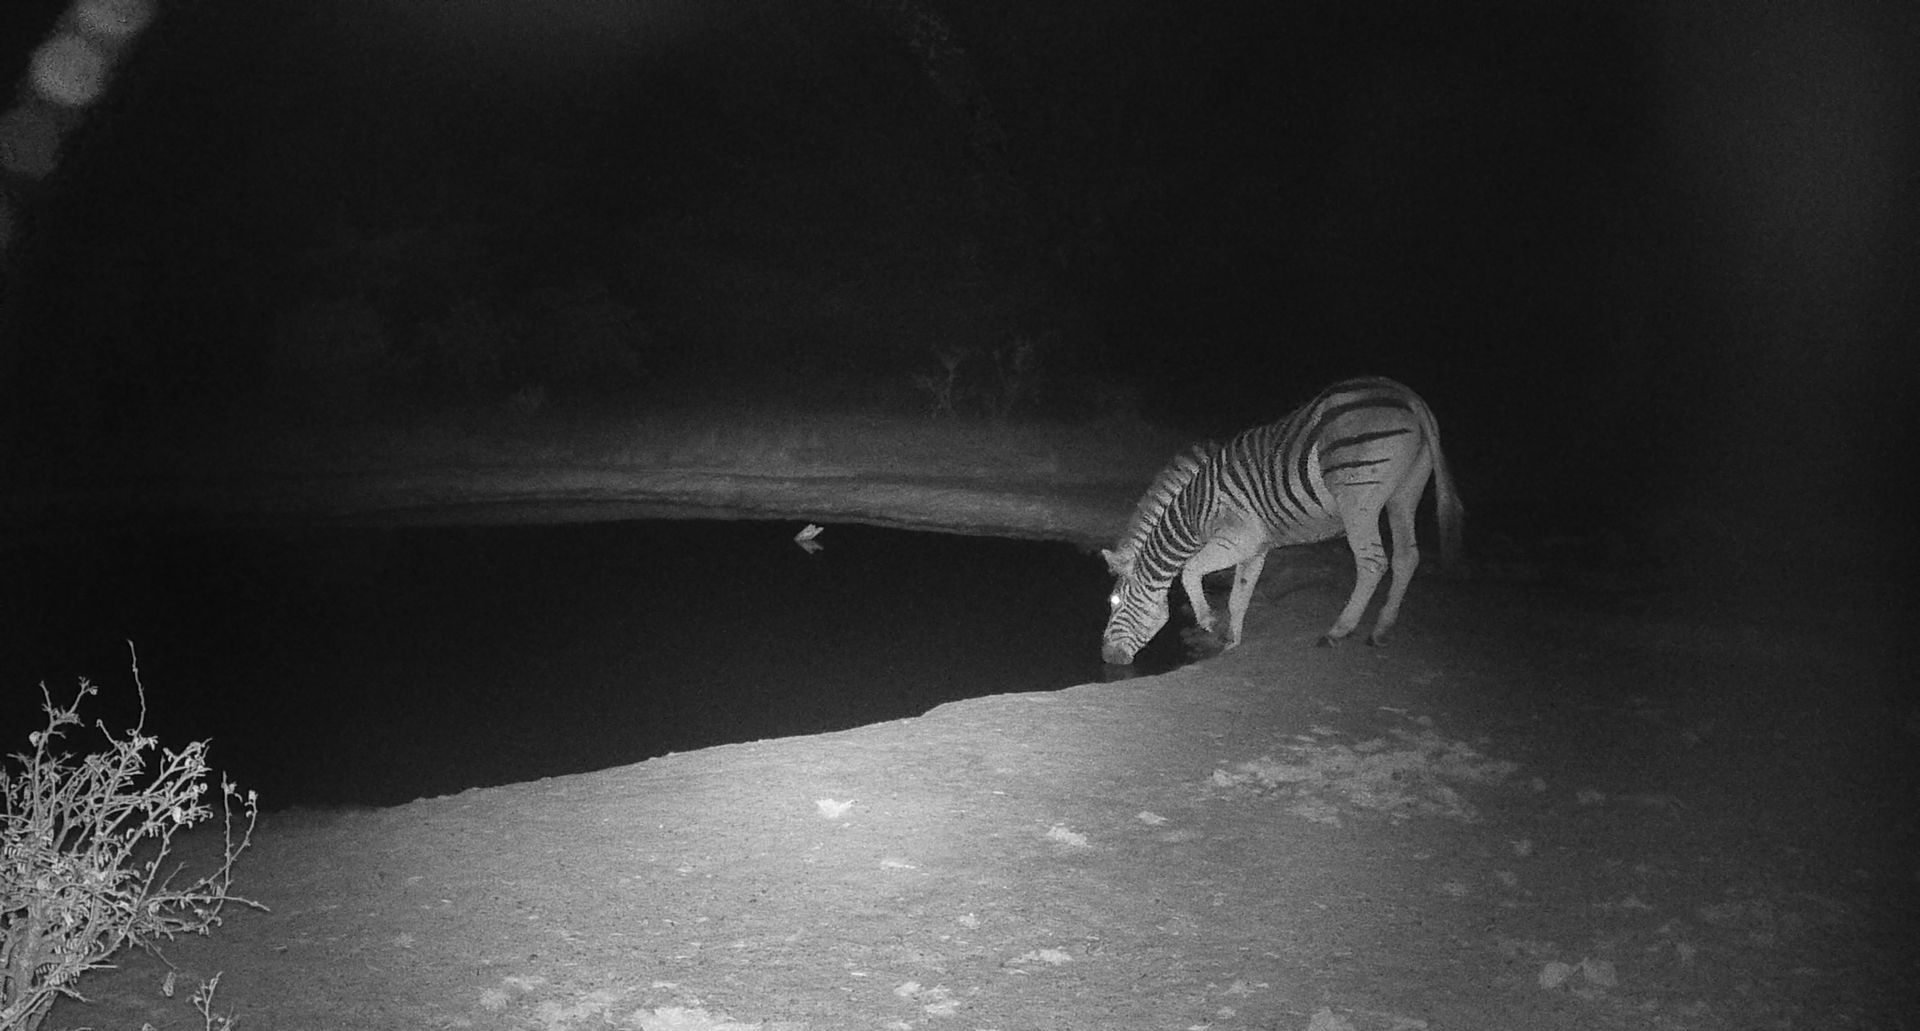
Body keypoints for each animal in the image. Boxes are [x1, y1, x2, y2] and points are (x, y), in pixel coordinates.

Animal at [1101, 376, 1463, 665]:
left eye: (1114, 602)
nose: (1106, 658)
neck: (1193, 513)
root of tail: (1407, 396)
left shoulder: (1236, 540)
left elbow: (1190, 571)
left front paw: (1209, 621)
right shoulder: (1254, 549)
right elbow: (1239, 595)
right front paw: (1230, 642)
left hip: (1358, 499)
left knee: (1373, 562)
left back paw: (1338, 631)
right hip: (1405, 492)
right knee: (1406, 557)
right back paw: (1382, 630)